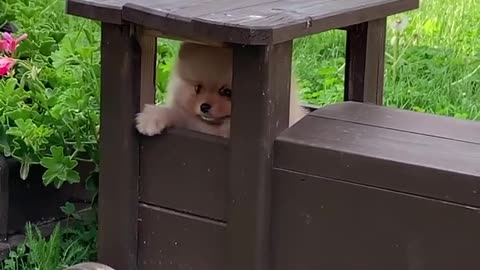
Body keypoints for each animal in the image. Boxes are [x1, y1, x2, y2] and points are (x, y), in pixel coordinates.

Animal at [135, 43, 308, 138]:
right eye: (198, 88)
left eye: (227, 92)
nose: (204, 106)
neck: (216, 128)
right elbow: (177, 114)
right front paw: (150, 119)